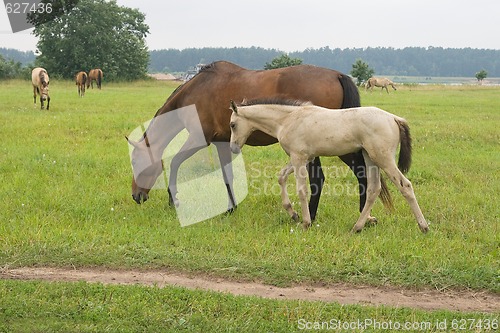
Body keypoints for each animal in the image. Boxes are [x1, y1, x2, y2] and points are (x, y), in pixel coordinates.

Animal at [127, 60, 392, 220]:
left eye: (136, 163)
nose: (136, 196)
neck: (197, 91)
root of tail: (337, 75)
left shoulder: (198, 139)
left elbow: (174, 163)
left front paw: (173, 201)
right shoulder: (223, 143)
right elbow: (227, 176)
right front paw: (231, 209)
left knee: (337, 176)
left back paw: (319, 215)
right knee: (360, 174)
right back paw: (362, 216)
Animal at [230, 98, 430, 233]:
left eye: (232, 124)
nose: (233, 148)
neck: (288, 119)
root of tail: (394, 118)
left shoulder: (298, 158)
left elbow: (301, 190)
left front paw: (305, 223)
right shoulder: (303, 158)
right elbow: (281, 177)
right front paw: (292, 213)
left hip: (383, 158)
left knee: (405, 186)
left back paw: (423, 226)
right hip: (370, 158)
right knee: (374, 189)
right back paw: (357, 227)